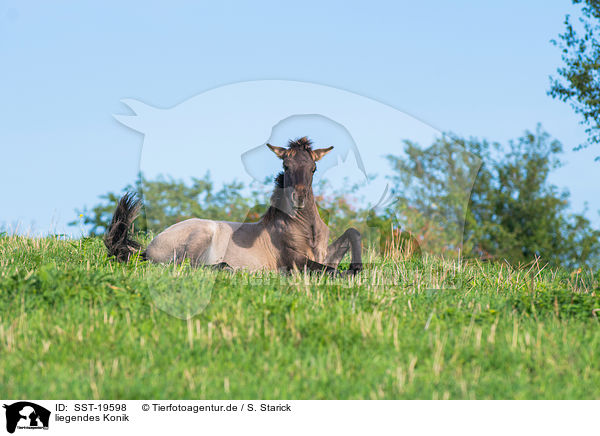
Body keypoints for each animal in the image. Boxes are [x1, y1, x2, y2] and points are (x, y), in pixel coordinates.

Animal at [104, 136, 360, 274]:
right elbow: (331, 272)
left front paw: (357, 268)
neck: (306, 230)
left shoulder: (324, 254)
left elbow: (352, 234)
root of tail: (148, 249)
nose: (299, 198)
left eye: (313, 168)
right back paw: (226, 267)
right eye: (286, 166)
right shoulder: (293, 261)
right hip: (201, 234)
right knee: (185, 266)